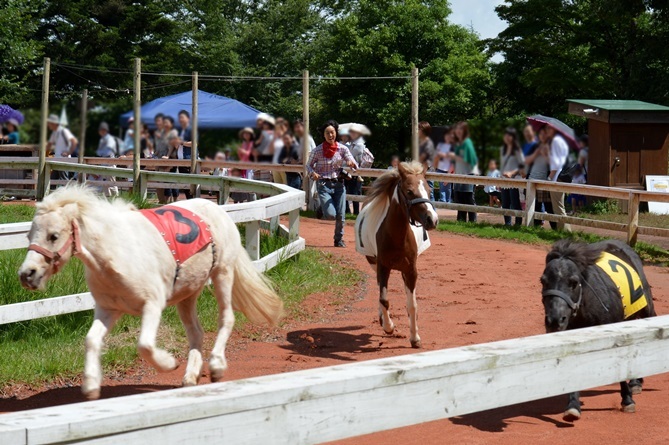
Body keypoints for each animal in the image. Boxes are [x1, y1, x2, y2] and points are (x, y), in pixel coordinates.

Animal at [18, 185, 282, 398]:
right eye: (29, 235)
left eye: (53, 236)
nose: (26, 274)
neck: (116, 251)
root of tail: (215, 208)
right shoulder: (108, 309)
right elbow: (91, 340)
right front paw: (91, 384)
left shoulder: (153, 304)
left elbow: (144, 345)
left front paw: (168, 363)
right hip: (188, 293)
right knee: (196, 332)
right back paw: (191, 376)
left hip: (223, 274)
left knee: (226, 318)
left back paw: (216, 366)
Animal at [354, 160, 438, 346]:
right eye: (409, 191)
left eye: (429, 191)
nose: (432, 219)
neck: (396, 236)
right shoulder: (383, 266)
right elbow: (384, 299)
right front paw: (388, 326)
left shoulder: (411, 270)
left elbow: (412, 304)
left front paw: (415, 338)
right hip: (374, 263)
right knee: (380, 289)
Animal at [540, 239, 656, 420]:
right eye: (543, 281)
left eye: (573, 282)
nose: (555, 320)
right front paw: (573, 406)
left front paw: (627, 400)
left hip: (646, 308)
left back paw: (636, 382)